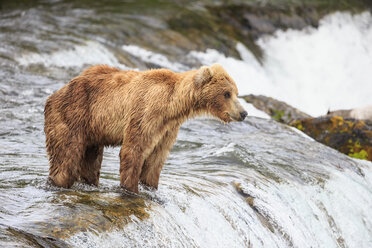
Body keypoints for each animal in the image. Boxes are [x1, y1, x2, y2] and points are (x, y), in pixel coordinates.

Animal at [44, 64, 247, 194]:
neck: (173, 106)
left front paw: (150, 187)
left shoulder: (168, 128)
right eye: (226, 93)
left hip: (93, 131)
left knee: (91, 160)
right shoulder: (148, 111)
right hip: (73, 116)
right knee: (66, 156)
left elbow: (156, 157)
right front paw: (131, 190)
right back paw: (58, 181)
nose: (243, 113)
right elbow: (134, 149)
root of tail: (55, 94)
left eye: (237, 92)